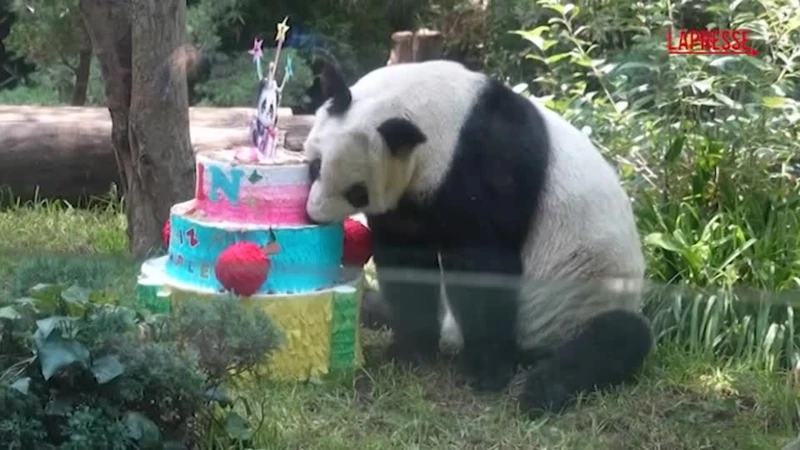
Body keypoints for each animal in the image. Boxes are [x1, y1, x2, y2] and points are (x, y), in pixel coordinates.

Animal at [303, 59, 653, 417]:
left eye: (357, 192)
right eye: (315, 167)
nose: (315, 215)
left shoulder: (484, 165)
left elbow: (482, 264)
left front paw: (486, 372)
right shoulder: (411, 194)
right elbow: (406, 261)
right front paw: (410, 351)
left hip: (581, 304)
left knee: (617, 337)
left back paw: (540, 390)